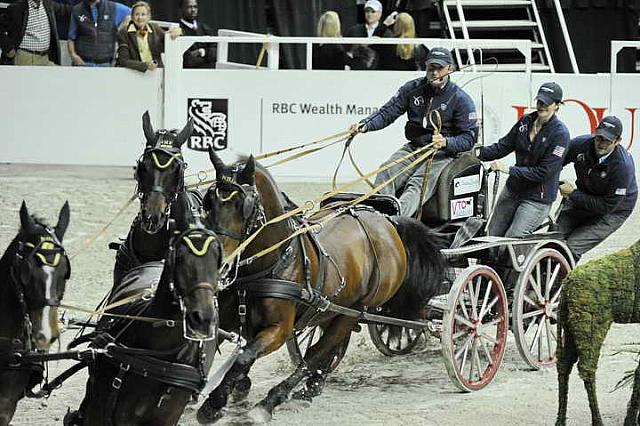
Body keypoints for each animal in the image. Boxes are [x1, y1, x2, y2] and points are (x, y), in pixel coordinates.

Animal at [70, 191, 222, 424]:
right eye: (179, 258)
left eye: (218, 261)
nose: (203, 318)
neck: (158, 355)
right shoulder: (100, 407)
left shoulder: (166, 416)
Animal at [196, 152, 444, 422]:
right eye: (209, 202)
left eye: (244, 205)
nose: (218, 261)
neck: (276, 260)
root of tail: (388, 222)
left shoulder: (279, 329)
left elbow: (244, 357)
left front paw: (214, 404)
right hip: (333, 309)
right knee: (331, 350)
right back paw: (311, 388)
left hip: (356, 309)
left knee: (315, 354)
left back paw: (271, 402)